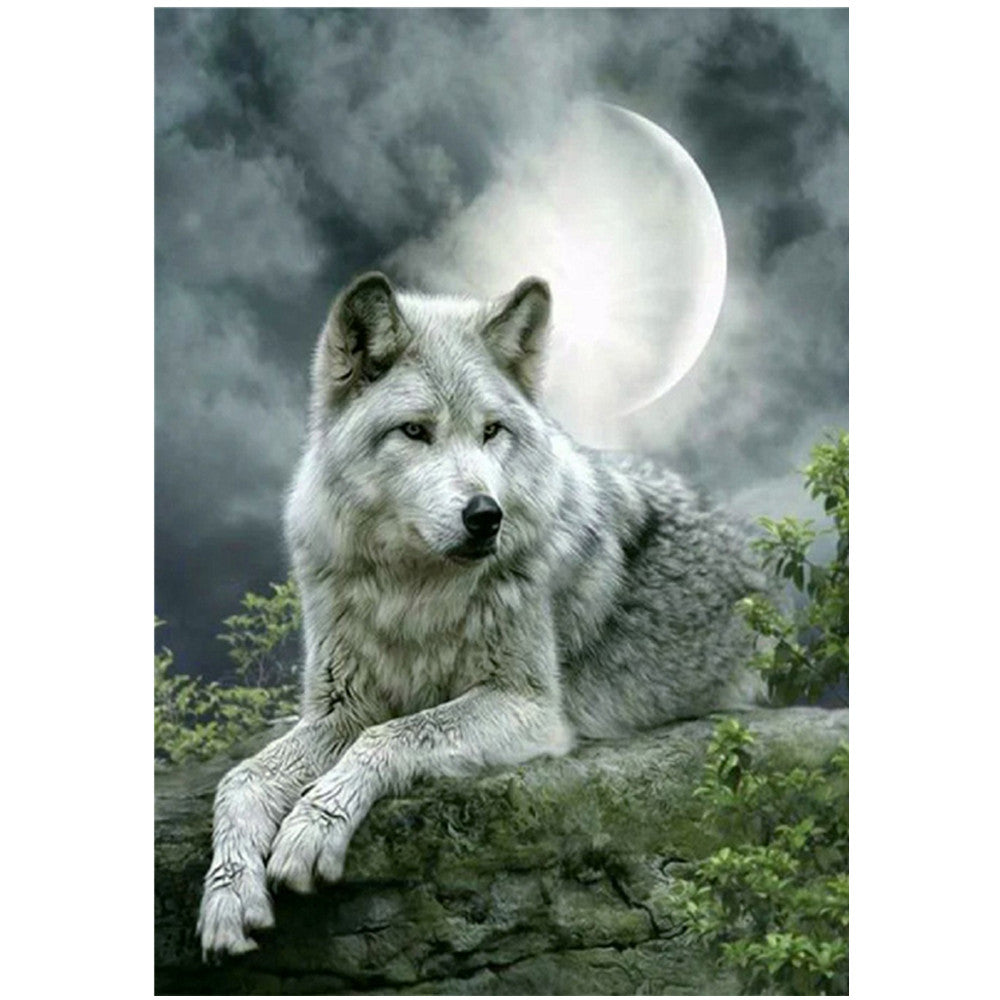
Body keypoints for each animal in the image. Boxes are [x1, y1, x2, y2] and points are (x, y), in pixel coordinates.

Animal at [197, 272, 766, 958]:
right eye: (415, 432)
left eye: (492, 431)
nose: (485, 515)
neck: (414, 591)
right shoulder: (341, 708)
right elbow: (241, 780)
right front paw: (228, 895)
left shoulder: (529, 707)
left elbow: (391, 736)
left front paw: (312, 826)